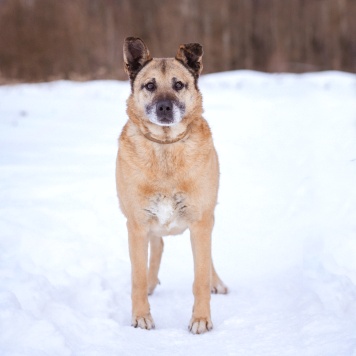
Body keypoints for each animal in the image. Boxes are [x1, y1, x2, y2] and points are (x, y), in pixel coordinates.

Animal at [117, 36, 228, 334]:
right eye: (150, 85)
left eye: (179, 85)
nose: (165, 107)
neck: (165, 147)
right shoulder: (137, 225)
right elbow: (136, 278)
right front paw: (141, 316)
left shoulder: (200, 223)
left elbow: (200, 278)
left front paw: (201, 319)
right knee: (156, 249)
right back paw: (151, 282)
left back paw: (217, 282)